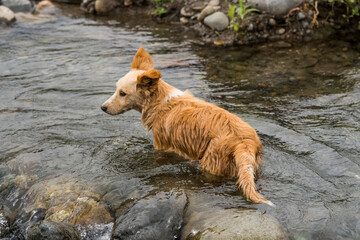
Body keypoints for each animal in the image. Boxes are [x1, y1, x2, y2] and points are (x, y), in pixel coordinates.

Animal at [101, 47, 272, 206]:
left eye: (123, 93)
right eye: (116, 89)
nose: (103, 107)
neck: (160, 102)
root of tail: (244, 142)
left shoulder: (162, 145)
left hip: (212, 162)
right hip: (252, 165)